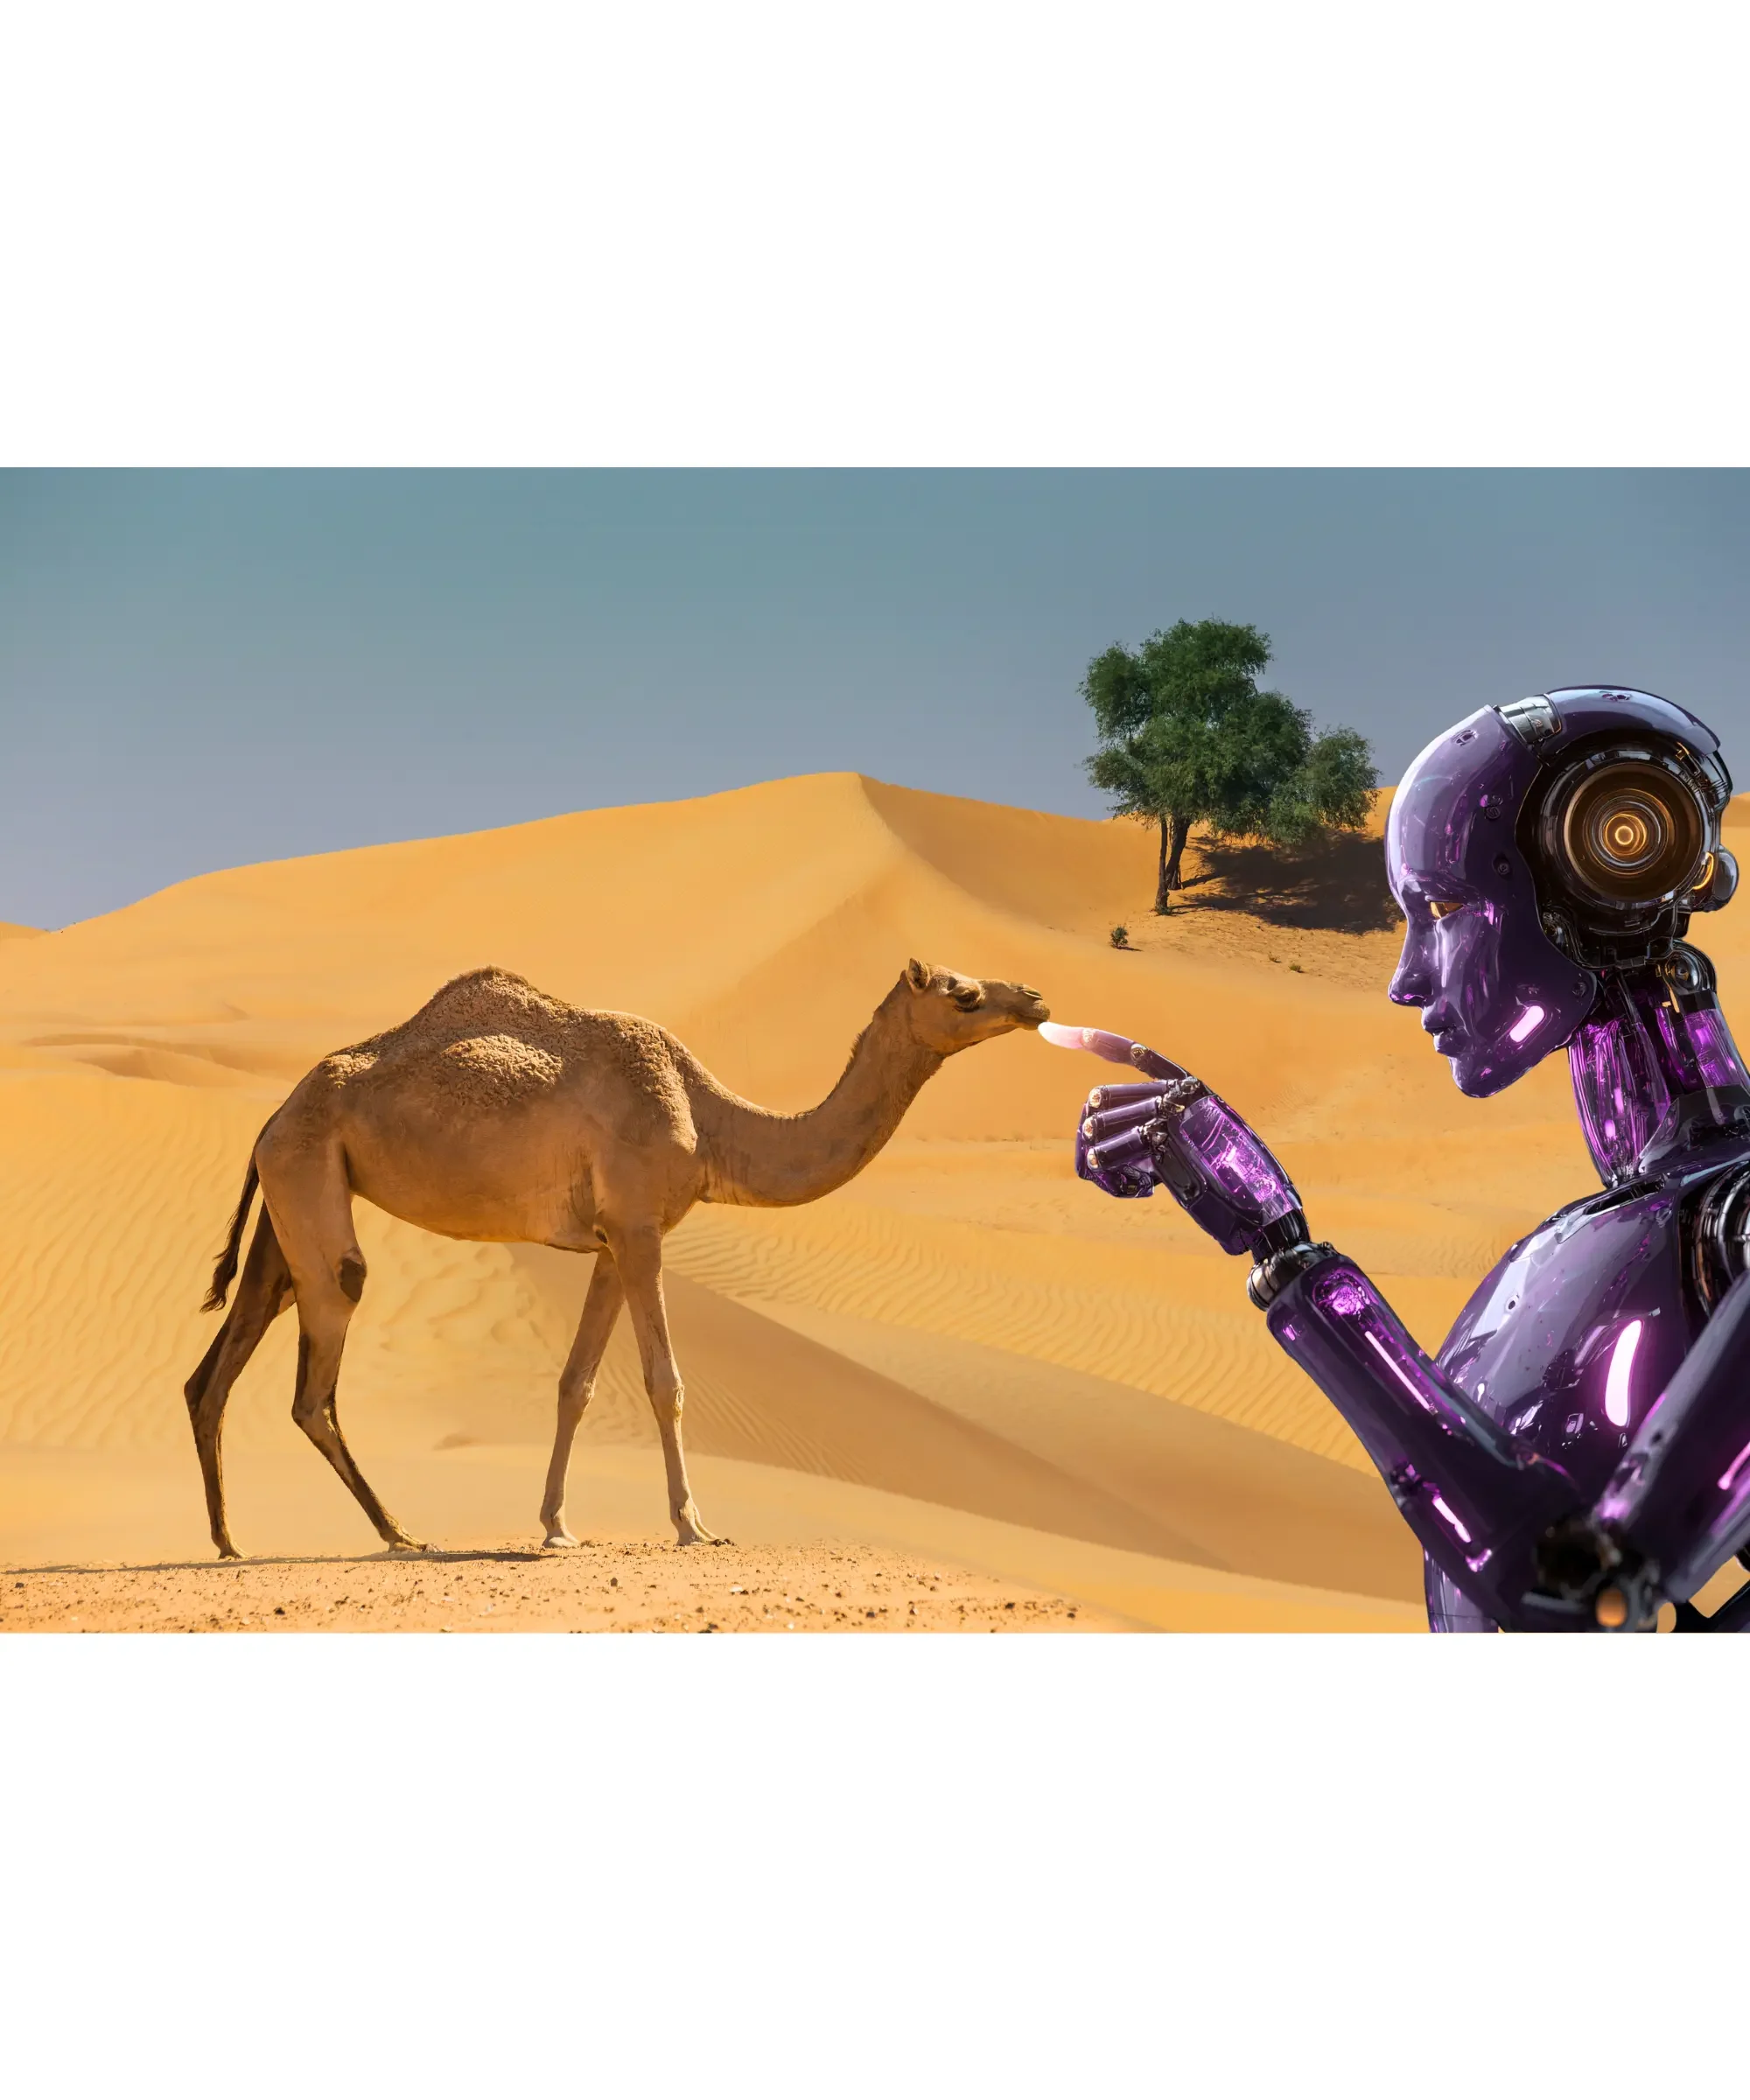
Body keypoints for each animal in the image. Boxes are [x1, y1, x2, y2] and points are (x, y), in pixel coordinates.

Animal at [183, 957, 1049, 1558]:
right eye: (963, 994)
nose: (1035, 999)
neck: (708, 1121)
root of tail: (272, 1114)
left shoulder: (609, 1242)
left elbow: (576, 1384)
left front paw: (557, 1525)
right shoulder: (639, 1228)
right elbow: (665, 1382)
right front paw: (695, 1526)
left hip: (291, 1197)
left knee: (217, 1367)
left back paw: (230, 1541)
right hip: (308, 1178)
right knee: (317, 1376)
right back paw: (398, 1533)